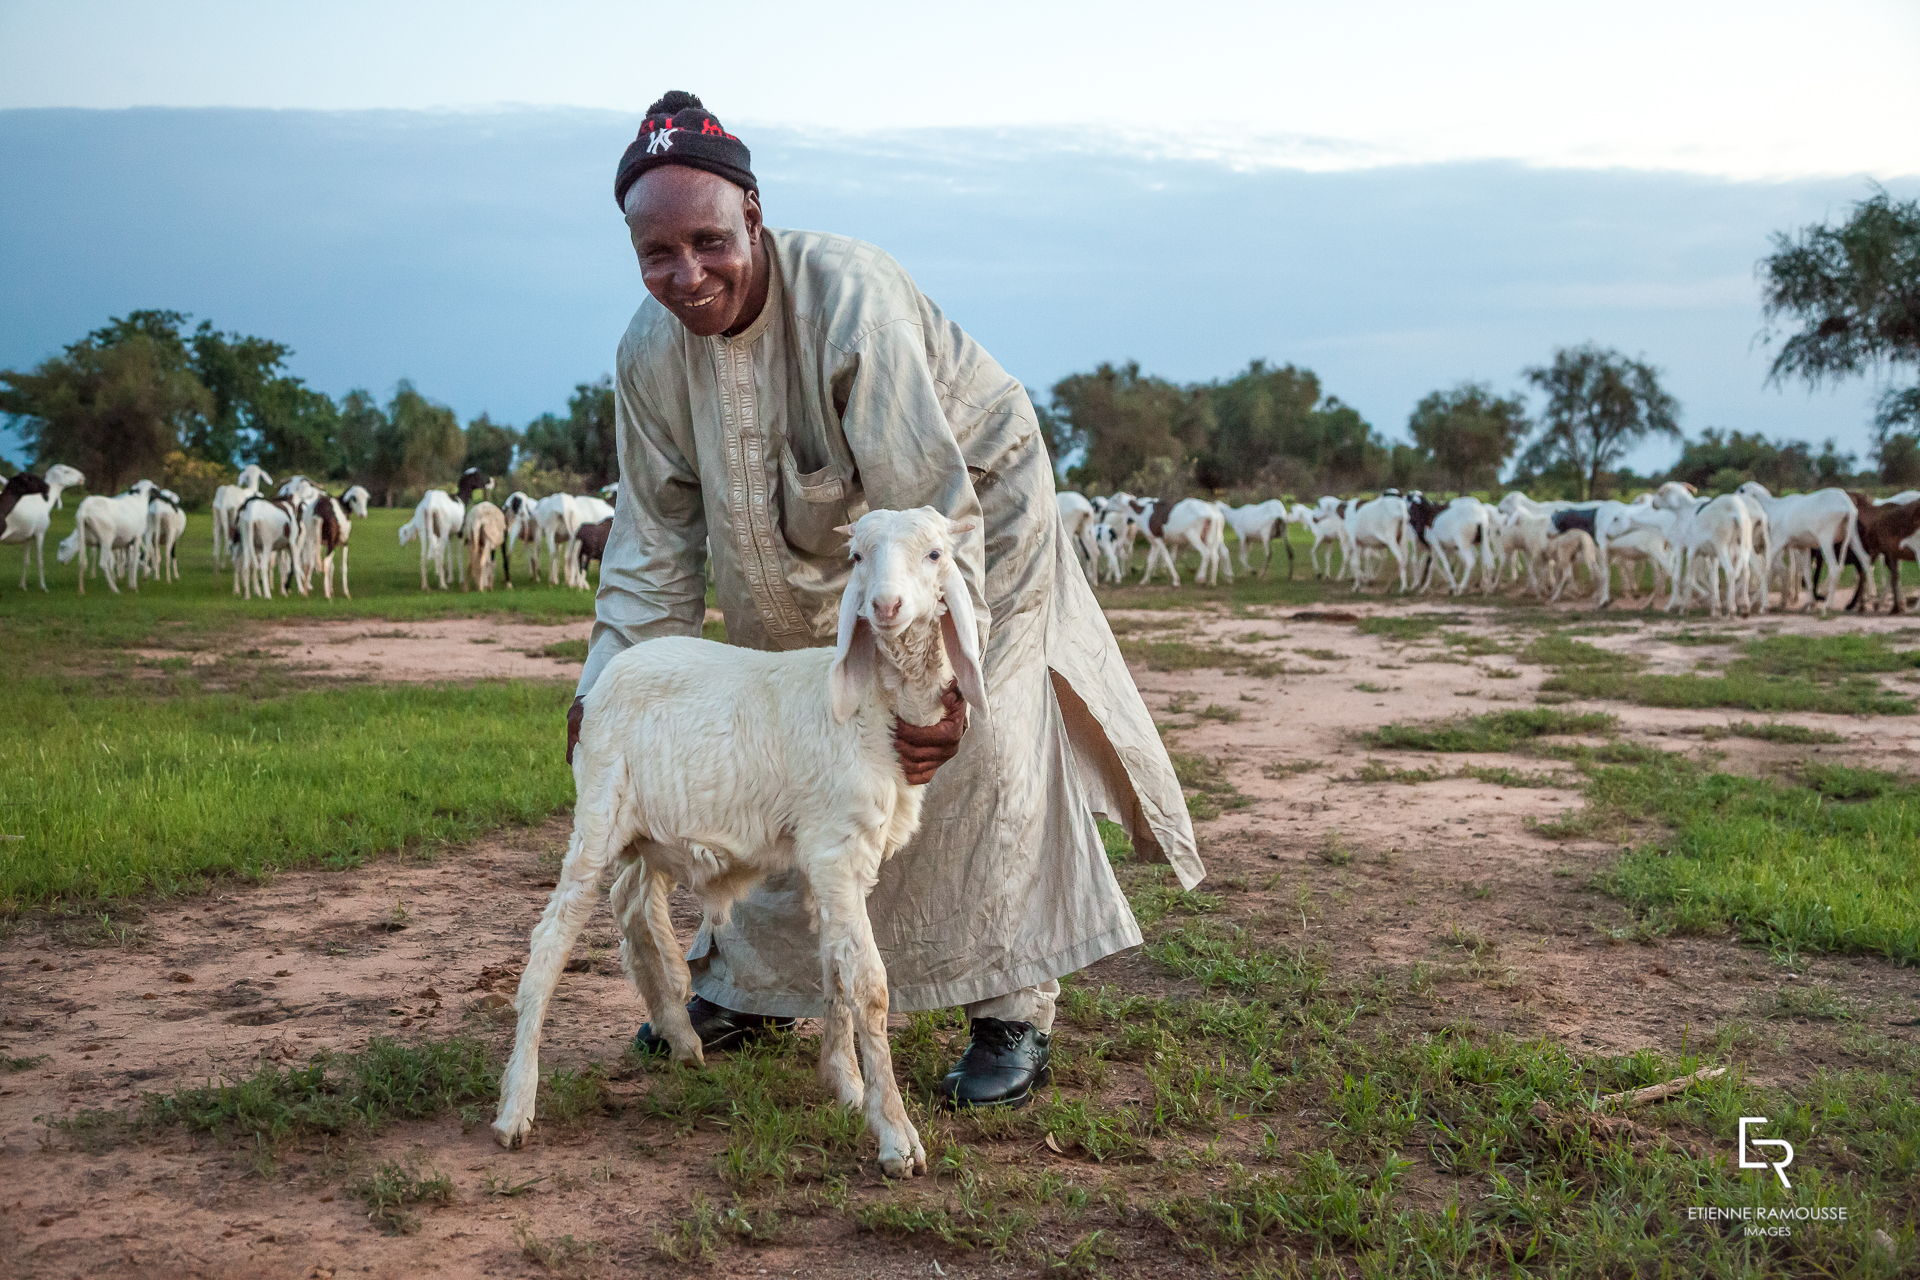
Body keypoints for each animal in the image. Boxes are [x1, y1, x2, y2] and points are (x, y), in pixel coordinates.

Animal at [491, 502, 990, 1182]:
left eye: (936, 554)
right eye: (857, 556)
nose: (885, 605)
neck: (875, 704)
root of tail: (604, 678)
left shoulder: (834, 863)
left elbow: (836, 972)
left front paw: (846, 1085)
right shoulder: (836, 850)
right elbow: (870, 986)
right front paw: (896, 1136)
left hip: (650, 832)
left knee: (633, 906)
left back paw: (679, 1034)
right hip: (597, 813)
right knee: (551, 942)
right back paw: (516, 1106)